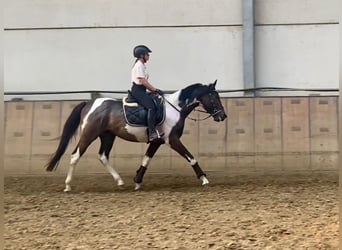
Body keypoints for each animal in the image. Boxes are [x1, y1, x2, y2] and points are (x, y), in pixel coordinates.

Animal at [45, 80, 227, 191]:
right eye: (213, 97)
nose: (222, 116)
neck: (175, 108)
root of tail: (89, 103)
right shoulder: (172, 140)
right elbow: (191, 157)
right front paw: (204, 179)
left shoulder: (157, 141)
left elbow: (146, 159)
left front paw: (137, 181)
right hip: (89, 134)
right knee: (75, 155)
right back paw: (68, 185)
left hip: (107, 136)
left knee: (103, 156)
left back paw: (119, 181)